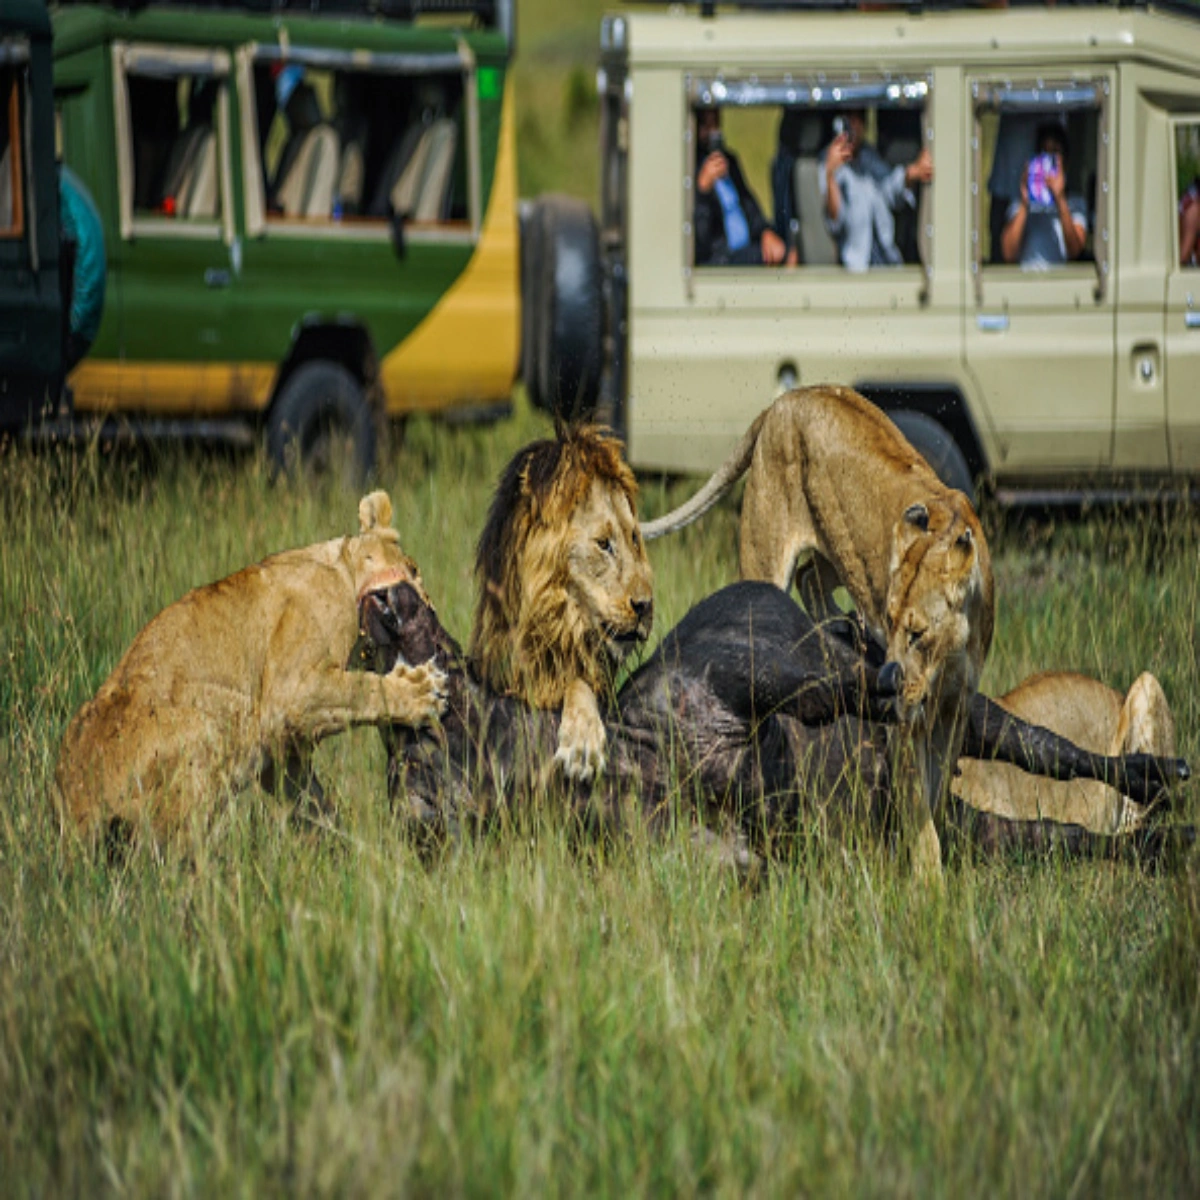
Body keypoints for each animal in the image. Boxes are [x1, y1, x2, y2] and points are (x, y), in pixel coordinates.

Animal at [53, 491, 446, 845]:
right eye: (414, 570)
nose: (431, 613)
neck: (340, 567)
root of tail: (76, 808)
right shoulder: (289, 692)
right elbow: (362, 691)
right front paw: (421, 692)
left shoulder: (282, 750)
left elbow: (313, 803)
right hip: (211, 721)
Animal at [470, 423, 654, 781]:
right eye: (603, 544)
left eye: (634, 538)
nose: (645, 606)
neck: (560, 622)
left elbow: (578, 682)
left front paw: (583, 745)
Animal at [640, 385, 993, 878]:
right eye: (892, 622)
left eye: (917, 634)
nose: (890, 679)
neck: (948, 656)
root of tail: (784, 401)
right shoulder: (909, 722)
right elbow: (918, 808)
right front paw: (930, 883)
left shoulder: (955, 709)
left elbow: (937, 794)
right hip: (767, 553)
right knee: (787, 584)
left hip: (834, 546)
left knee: (811, 575)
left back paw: (845, 625)